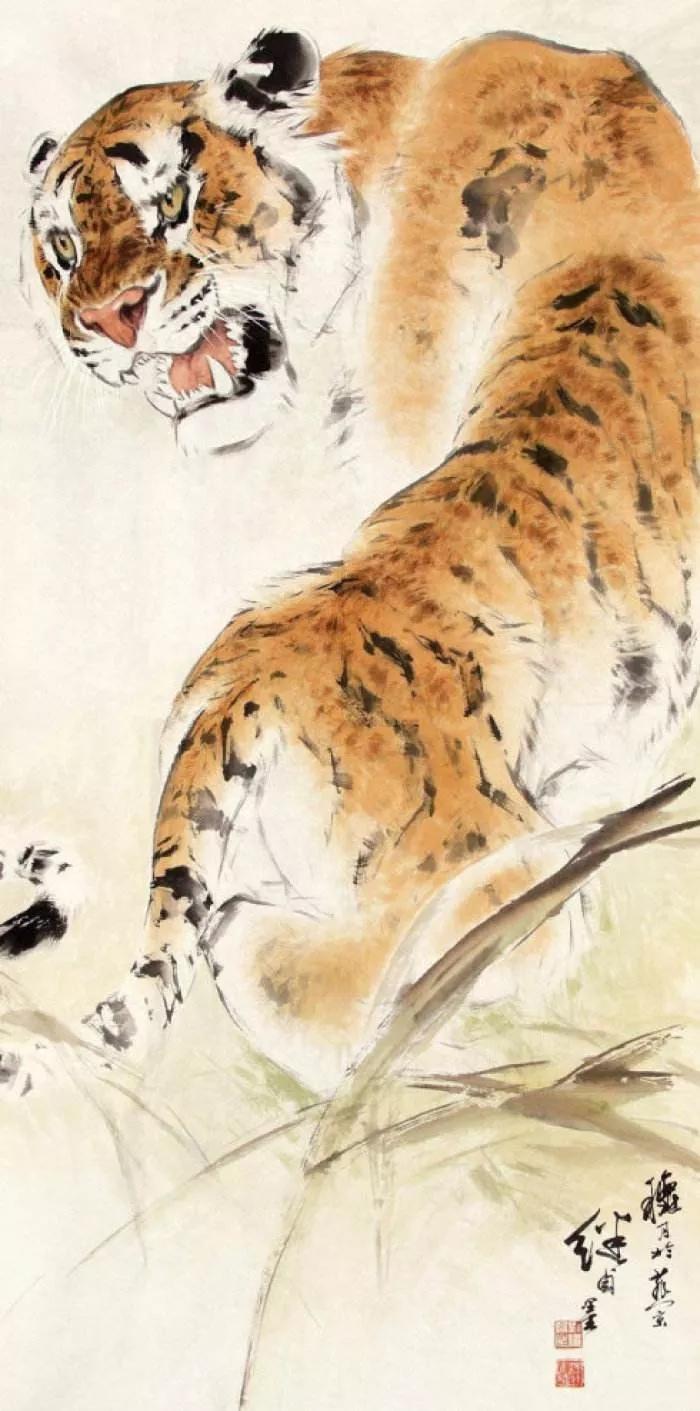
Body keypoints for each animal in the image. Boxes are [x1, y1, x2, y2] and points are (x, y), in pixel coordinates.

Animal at [4, 27, 700, 1095]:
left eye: (175, 201)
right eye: (63, 251)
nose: (107, 320)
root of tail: (242, 693)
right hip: (507, 877)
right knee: (327, 983)